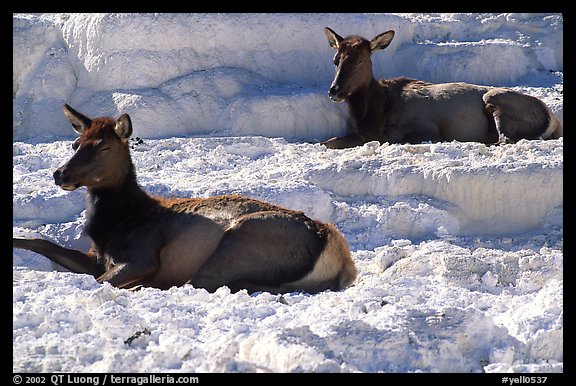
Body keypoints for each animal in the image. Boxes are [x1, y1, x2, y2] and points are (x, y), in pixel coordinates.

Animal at [12, 104, 356, 294]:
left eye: (104, 146)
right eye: (75, 143)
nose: (60, 174)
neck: (115, 224)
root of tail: (339, 255)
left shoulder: (142, 256)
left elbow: (101, 280)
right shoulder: (97, 256)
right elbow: (42, 242)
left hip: (239, 241)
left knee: (196, 281)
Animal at [322, 26, 564, 149]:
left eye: (360, 60)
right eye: (335, 59)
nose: (335, 90)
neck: (376, 112)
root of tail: (552, 119)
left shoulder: (427, 128)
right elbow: (329, 141)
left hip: (496, 99)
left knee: (506, 139)